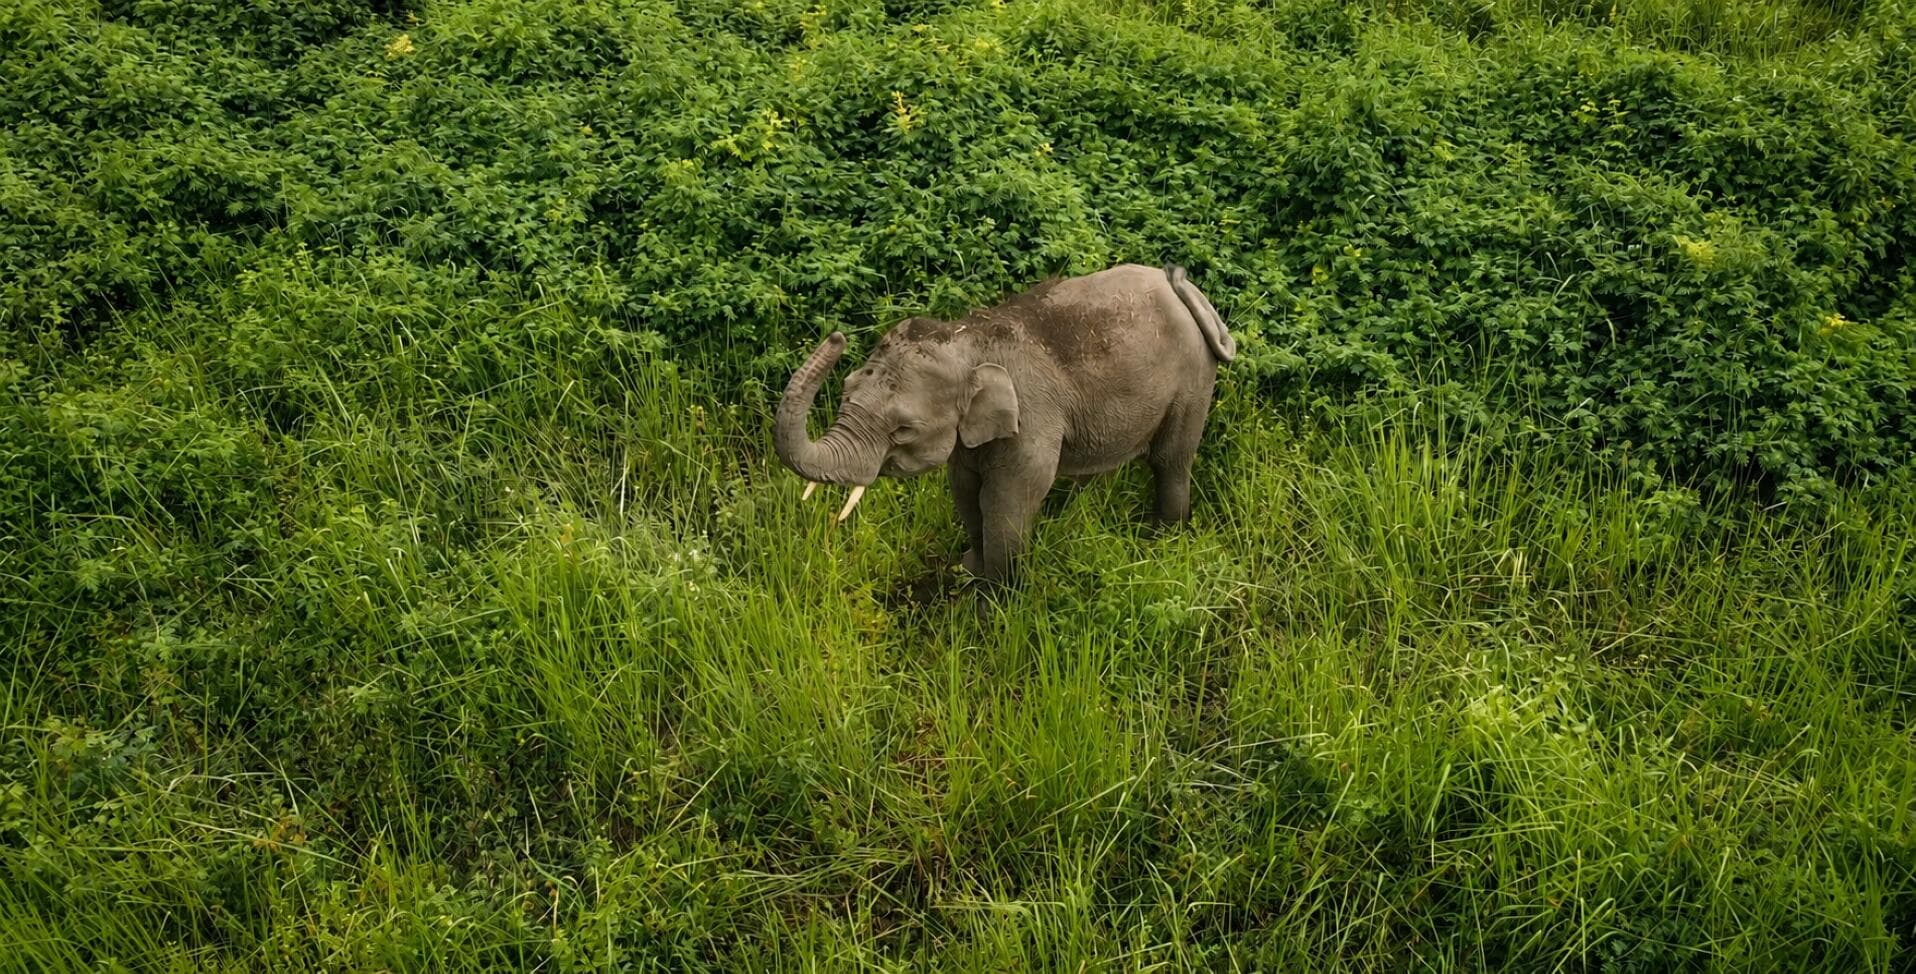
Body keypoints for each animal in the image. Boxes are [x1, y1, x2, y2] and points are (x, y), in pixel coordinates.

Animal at [774, 262, 1235, 584]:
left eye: (903, 430)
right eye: (846, 389)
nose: (837, 336)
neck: (967, 340)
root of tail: (1179, 286)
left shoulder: (1031, 419)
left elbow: (1006, 501)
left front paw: (997, 602)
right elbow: (965, 491)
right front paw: (968, 569)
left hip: (1193, 379)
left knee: (1170, 460)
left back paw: (1161, 538)